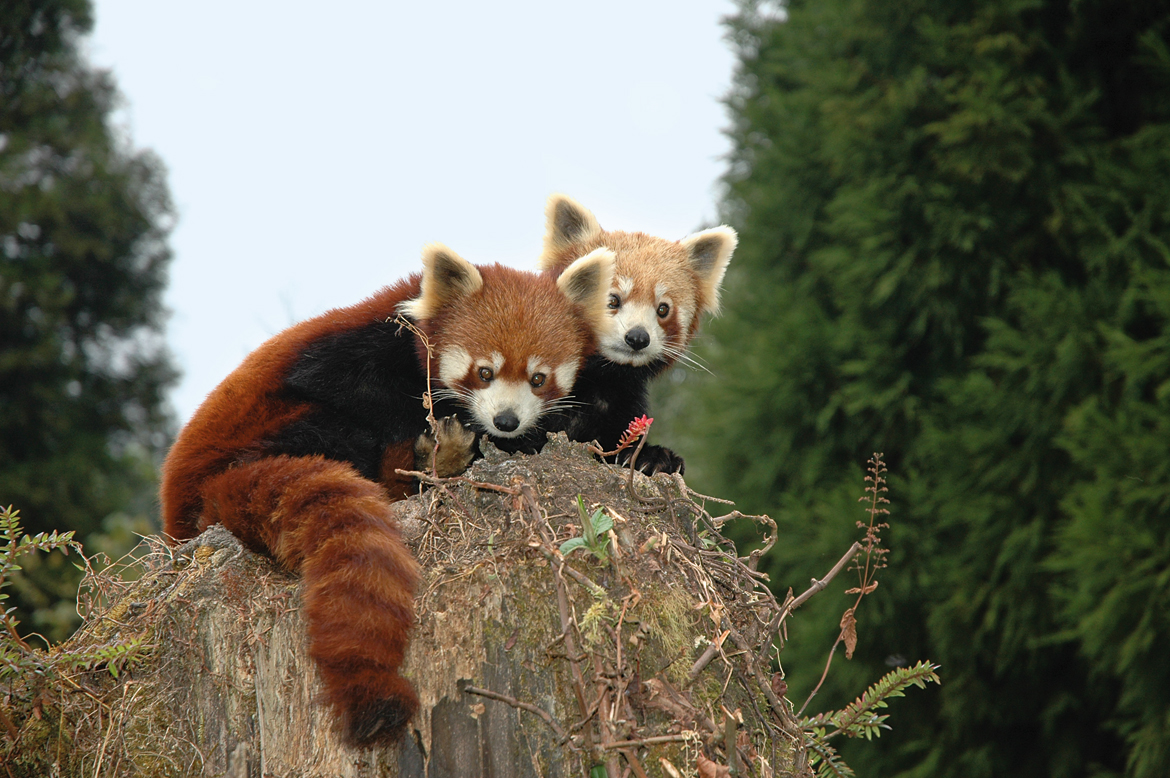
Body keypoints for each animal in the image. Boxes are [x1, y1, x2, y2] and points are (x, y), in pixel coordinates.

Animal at [161, 244, 617, 748]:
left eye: (538, 378)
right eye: (485, 372)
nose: (506, 421)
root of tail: (192, 503)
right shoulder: (354, 351)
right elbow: (357, 390)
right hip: (267, 428)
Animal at [535, 194, 734, 472]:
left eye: (663, 309)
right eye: (612, 300)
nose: (638, 337)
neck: (600, 378)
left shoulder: (623, 402)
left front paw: (654, 457)